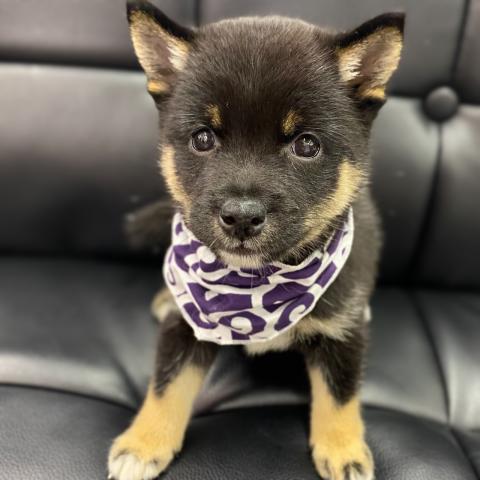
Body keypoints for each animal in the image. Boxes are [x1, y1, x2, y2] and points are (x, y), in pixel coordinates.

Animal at [108, 2, 404, 479]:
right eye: (203, 138)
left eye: (306, 145)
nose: (241, 217)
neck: (253, 286)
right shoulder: (188, 324)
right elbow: (167, 383)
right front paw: (144, 443)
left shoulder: (342, 333)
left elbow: (340, 393)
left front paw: (343, 450)